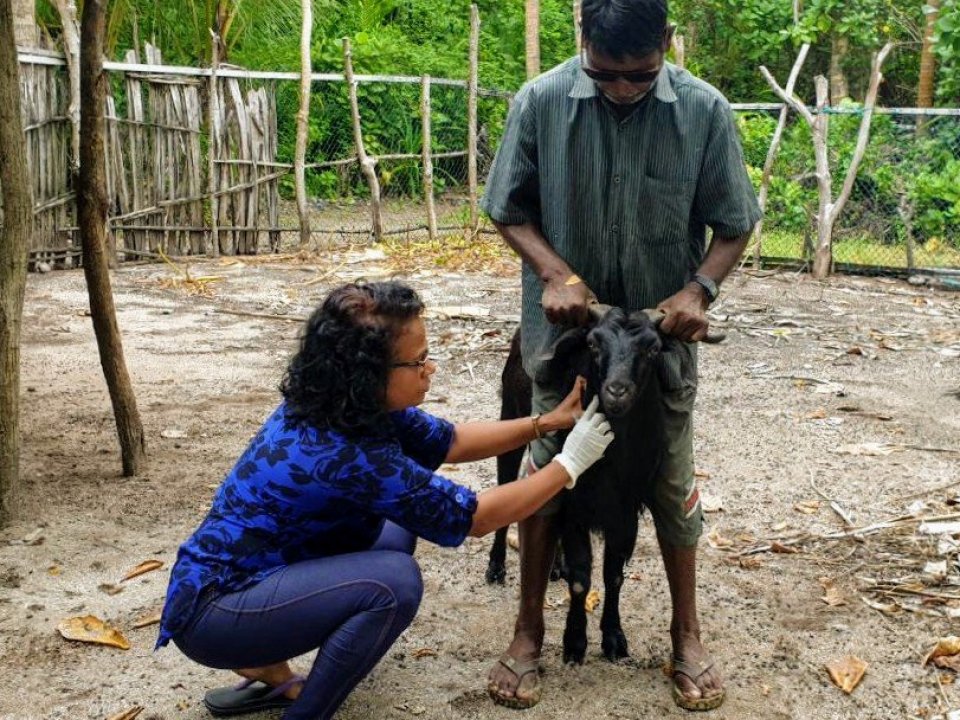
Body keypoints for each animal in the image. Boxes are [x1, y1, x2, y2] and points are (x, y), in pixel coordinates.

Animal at [488, 304, 704, 664]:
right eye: (593, 343)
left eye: (653, 348)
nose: (616, 391)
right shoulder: (575, 504)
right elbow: (580, 577)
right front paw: (574, 642)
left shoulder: (625, 510)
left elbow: (613, 576)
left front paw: (614, 637)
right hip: (511, 416)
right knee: (505, 483)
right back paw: (496, 566)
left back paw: (553, 566)